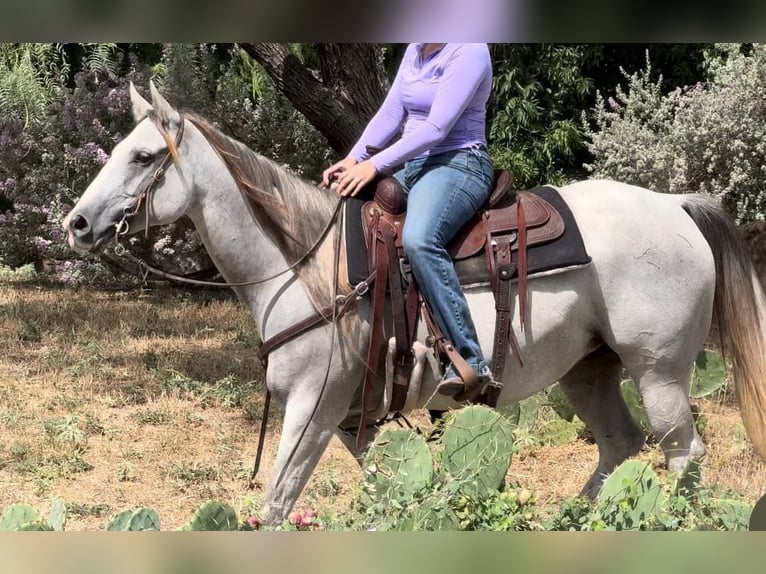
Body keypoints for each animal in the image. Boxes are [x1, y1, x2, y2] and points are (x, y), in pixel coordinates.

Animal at [63, 82, 766, 525]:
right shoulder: (354, 418)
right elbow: (382, 490)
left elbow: (278, 502)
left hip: (660, 373)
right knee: (620, 445)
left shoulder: (313, 408)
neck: (306, 269)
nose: (75, 224)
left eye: (143, 156)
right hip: (589, 370)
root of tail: (675, 205)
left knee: (683, 454)